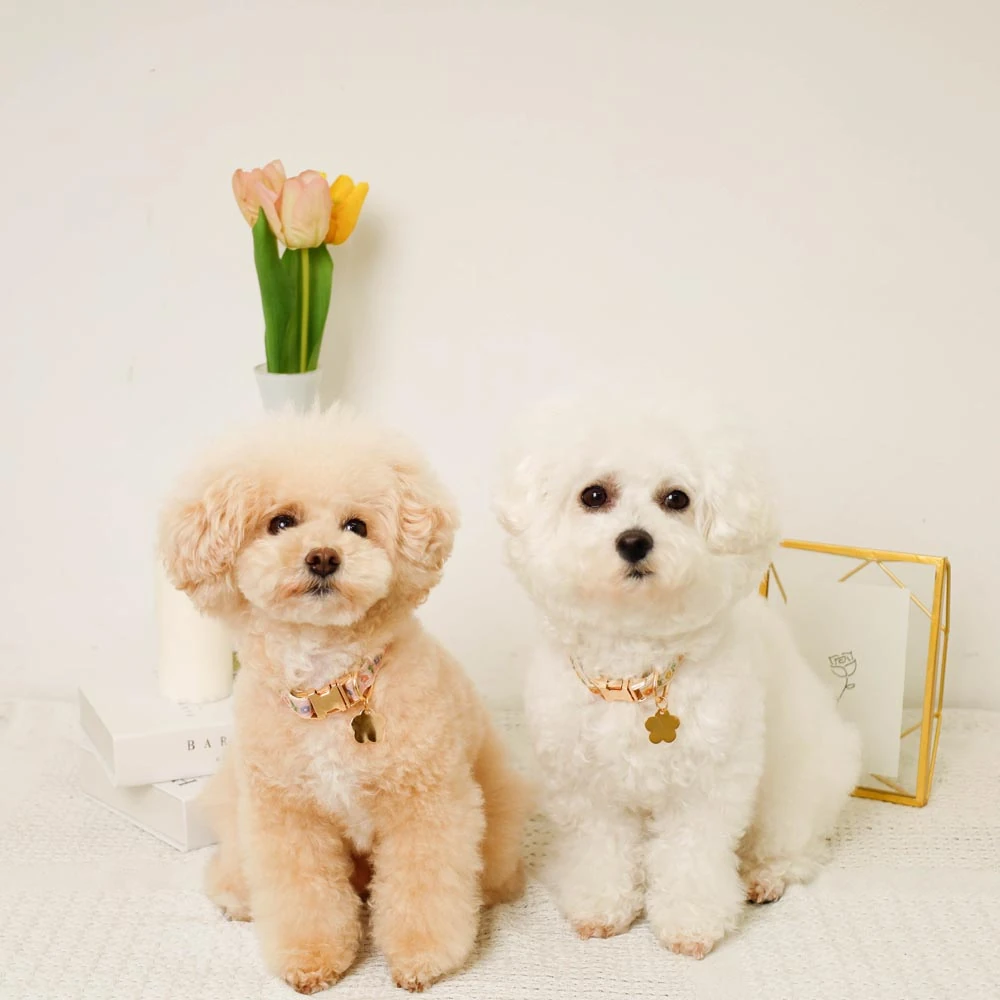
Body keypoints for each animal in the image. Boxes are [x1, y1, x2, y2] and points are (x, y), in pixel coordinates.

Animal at [160, 407, 528, 994]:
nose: (323, 557)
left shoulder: (427, 805)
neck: (331, 687)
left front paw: (423, 958)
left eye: (356, 526)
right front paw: (310, 958)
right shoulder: (288, 817)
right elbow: (304, 895)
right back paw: (235, 894)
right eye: (280, 523)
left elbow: (423, 886)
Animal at [494, 397, 860, 959]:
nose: (634, 541)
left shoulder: (707, 785)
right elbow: (601, 849)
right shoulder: (587, 789)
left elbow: (692, 859)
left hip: (795, 785)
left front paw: (691, 923)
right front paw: (602, 906)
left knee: (796, 845)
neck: (634, 671)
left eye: (676, 498)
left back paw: (766, 876)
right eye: (593, 494)